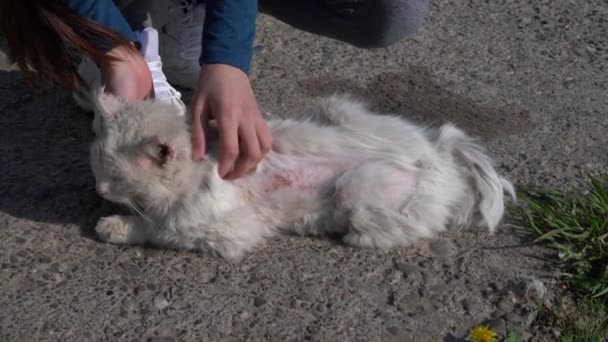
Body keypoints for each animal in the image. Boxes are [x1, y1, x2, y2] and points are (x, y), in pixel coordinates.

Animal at [90, 89, 516, 258]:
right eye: (96, 163)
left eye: (118, 177)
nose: (99, 188)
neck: (201, 163)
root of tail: (442, 154)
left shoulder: (222, 229)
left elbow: (155, 226)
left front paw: (112, 225)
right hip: (338, 109)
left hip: (357, 191)